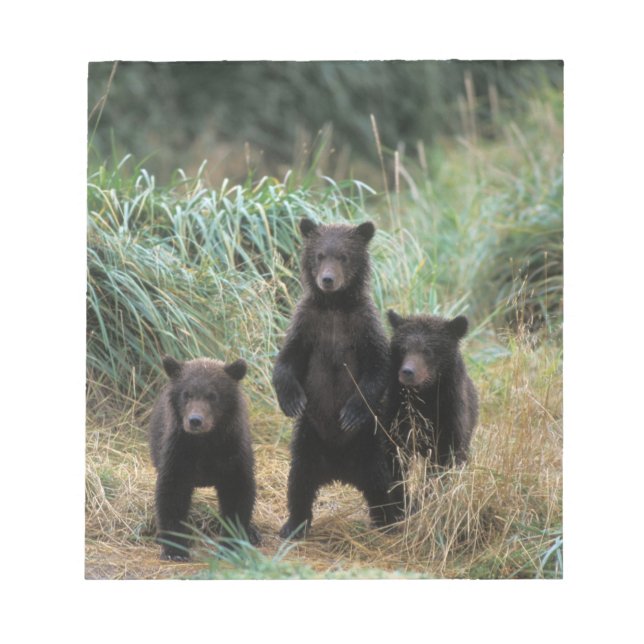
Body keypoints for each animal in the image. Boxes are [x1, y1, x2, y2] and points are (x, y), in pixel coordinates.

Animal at [149, 355, 259, 560]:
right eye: (187, 394)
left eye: (213, 395)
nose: (195, 420)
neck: (205, 443)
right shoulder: (179, 452)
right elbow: (172, 494)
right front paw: (175, 550)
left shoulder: (232, 452)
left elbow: (237, 493)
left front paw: (231, 544)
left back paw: (252, 533)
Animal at [273, 218, 403, 539]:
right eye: (320, 255)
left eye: (343, 256)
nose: (328, 279)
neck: (334, 305)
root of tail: (340, 471)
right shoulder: (307, 324)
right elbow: (287, 360)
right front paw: (291, 400)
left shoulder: (362, 325)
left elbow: (378, 367)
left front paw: (350, 413)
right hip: (309, 438)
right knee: (299, 481)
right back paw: (292, 525)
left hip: (371, 444)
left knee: (383, 483)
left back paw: (389, 522)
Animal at [385, 310, 479, 470]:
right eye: (403, 349)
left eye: (427, 351)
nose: (407, 372)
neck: (427, 393)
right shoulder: (399, 415)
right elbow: (396, 451)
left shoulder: (450, 413)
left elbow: (448, 455)